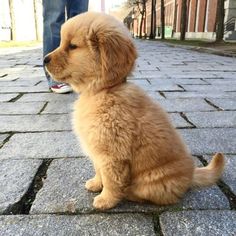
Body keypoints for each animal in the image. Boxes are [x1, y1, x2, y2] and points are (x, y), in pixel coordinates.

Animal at [44, 12, 225, 209]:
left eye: (72, 46)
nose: (44, 60)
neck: (104, 90)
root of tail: (191, 175)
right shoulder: (99, 152)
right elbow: (99, 170)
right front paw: (96, 183)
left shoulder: (113, 154)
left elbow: (111, 179)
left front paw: (106, 200)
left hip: (155, 181)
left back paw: (128, 192)